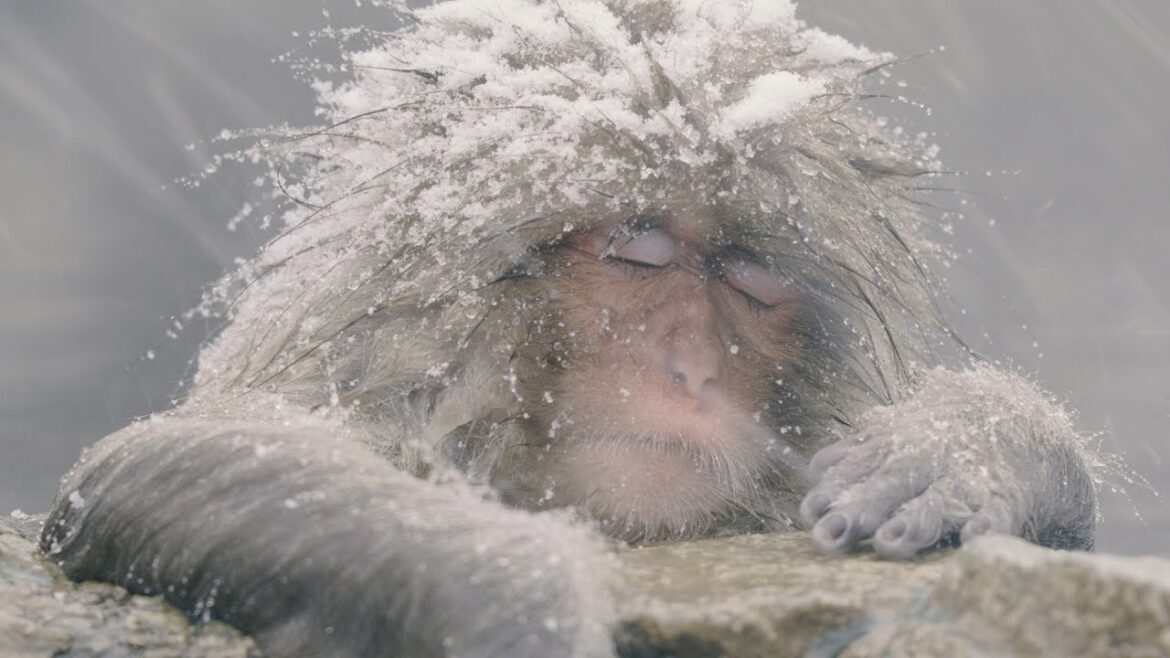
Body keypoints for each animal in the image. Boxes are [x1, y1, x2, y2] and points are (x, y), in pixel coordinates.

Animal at [39, 1, 1100, 656]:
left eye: (753, 282)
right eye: (640, 251)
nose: (691, 368)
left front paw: (967, 445)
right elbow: (159, 458)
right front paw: (523, 611)